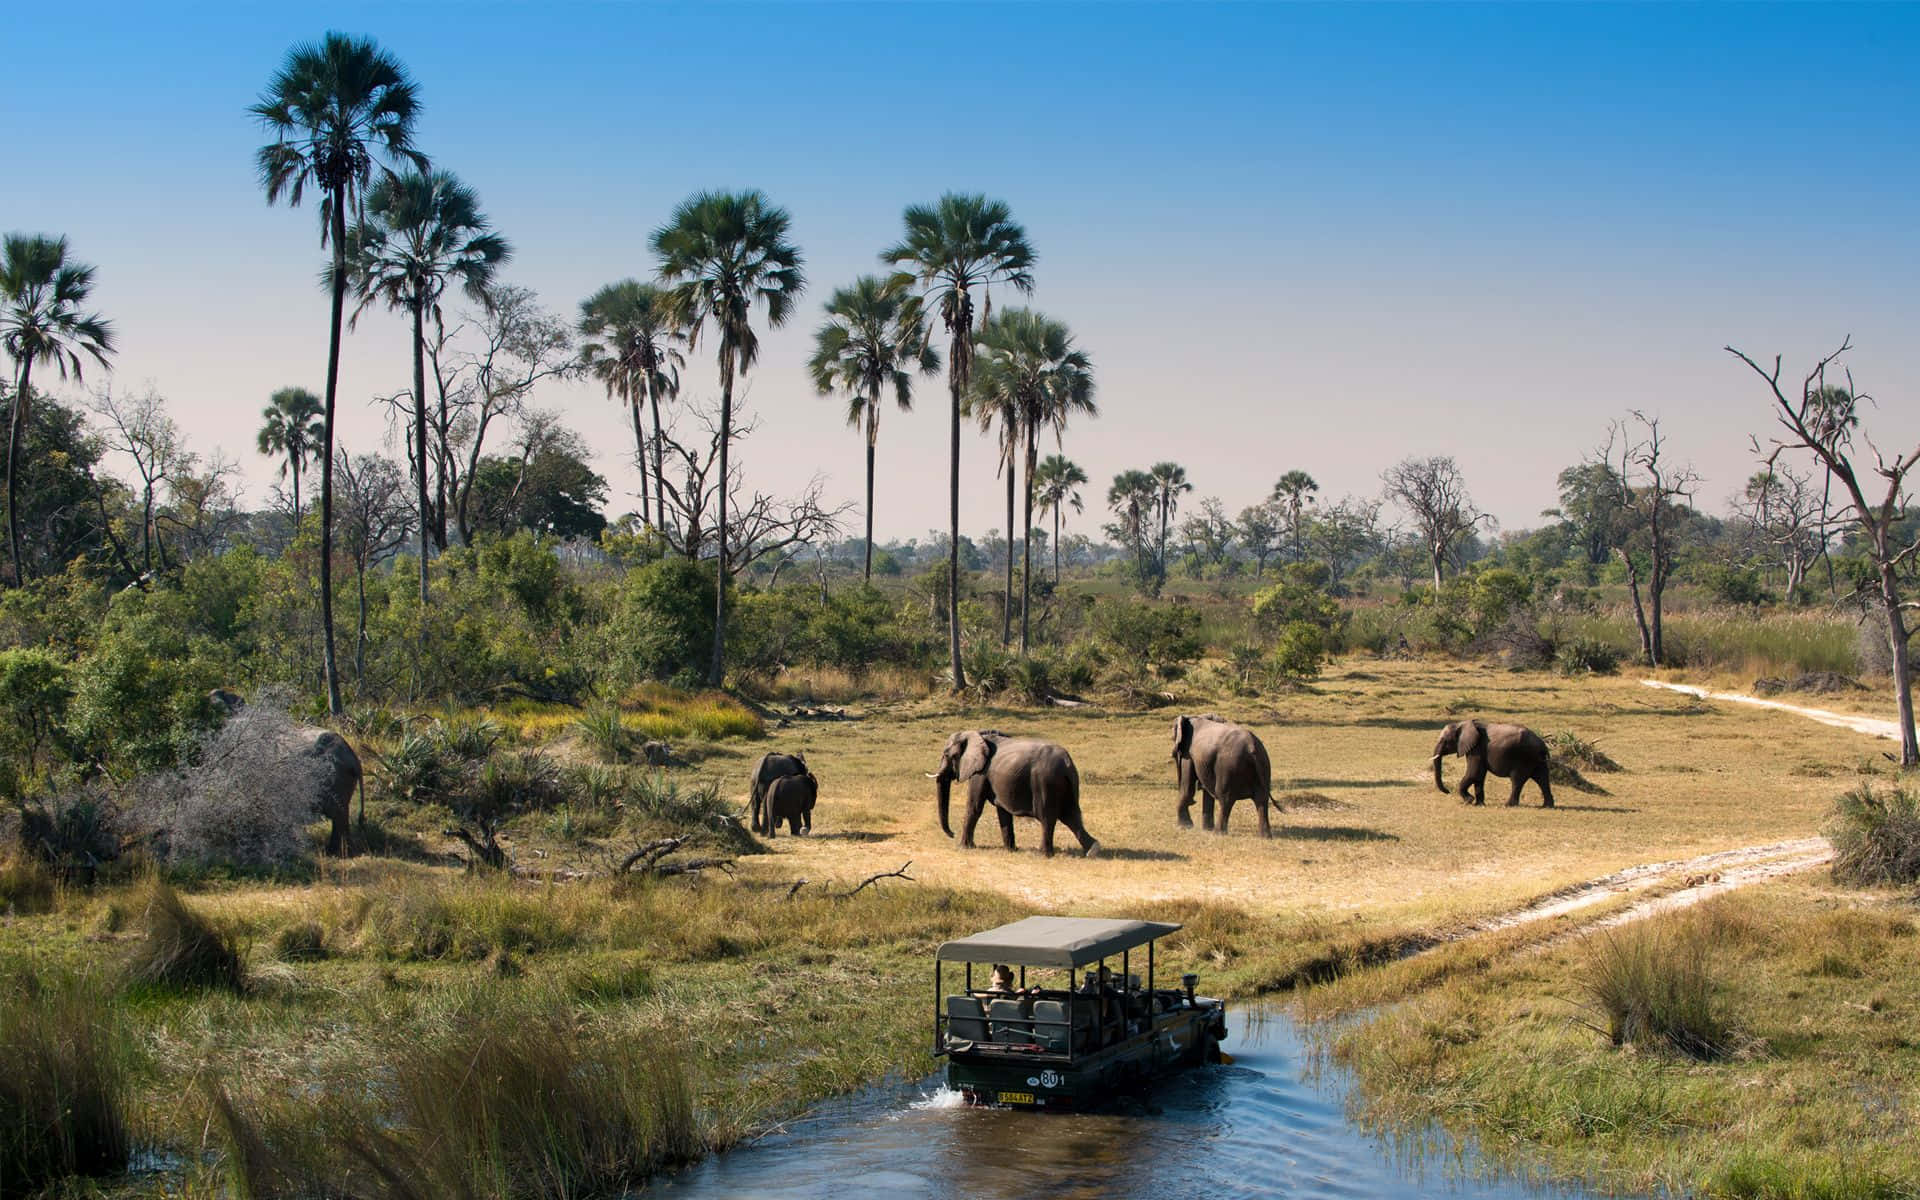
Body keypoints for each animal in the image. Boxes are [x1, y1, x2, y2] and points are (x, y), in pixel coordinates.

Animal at [928, 730, 1099, 858]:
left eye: (947, 755)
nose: (952, 834)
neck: (978, 735)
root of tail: (1066, 763)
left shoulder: (981, 773)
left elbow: (974, 807)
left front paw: (963, 847)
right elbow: (1003, 812)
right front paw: (1010, 850)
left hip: (1045, 782)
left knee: (1047, 818)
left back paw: (1042, 854)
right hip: (1069, 784)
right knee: (1071, 817)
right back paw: (1093, 851)